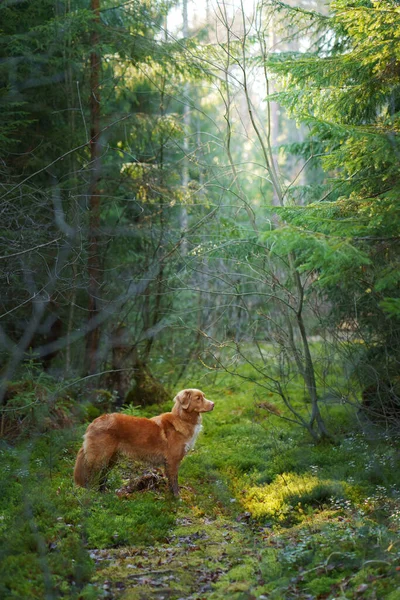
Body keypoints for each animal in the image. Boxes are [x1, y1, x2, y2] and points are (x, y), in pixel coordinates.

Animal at [74, 390, 214, 496]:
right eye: (198, 398)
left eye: (204, 396)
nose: (213, 404)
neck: (182, 419)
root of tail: (94, 422)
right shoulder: (173, 460)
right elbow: (174, 482)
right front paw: (177, 499)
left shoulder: (169, 462)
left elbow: (170, 482)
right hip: (99, 457)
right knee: (89, 475)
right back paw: (89, 497)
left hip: (111, 458)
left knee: (103, 475)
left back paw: (103, 494)